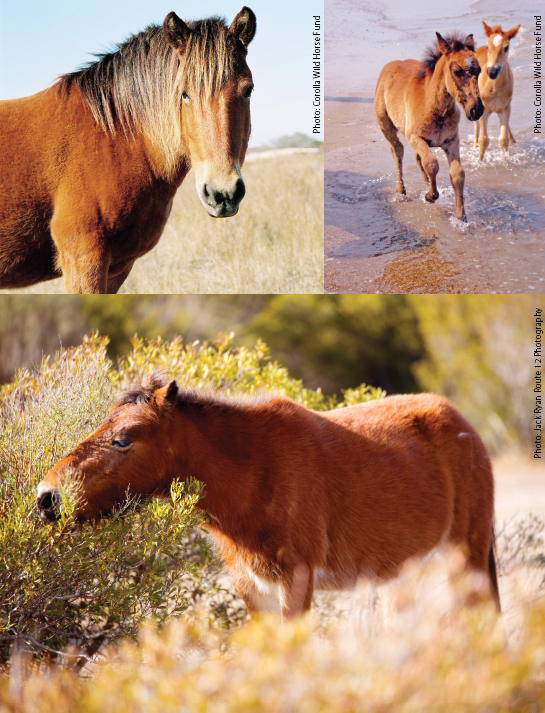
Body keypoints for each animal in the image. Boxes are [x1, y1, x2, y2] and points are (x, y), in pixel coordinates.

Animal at [0, 9, 256, 292]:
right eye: (184, 94)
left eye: (248, 90)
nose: (223, 194)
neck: (116, 136)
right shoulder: (82, 258)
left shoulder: (117, 268)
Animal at [36, 372, 500, 616]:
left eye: (122, 439)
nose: (46, 498)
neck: (254, 472)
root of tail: (465, 427)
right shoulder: (252, 585)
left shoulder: (296, 577)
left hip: (468, 556)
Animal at [372, 32, 482, 220]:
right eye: (456, 71)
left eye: (479, 70)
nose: (476, 109)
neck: (434, 107)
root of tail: (390, 65)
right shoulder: (414, 137)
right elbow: (431, 163)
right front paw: (431, 196)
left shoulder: (452, 140)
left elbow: (458, 174)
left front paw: (461, 217)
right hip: (386, 126)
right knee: (397, 150)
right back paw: (401, 191)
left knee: (417, 157)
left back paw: (424, 184)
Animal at [472, 23, 520, 162]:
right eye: (488, 46)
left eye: (506, 47)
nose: (492, 72)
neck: (494, 88)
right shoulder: (483, 110)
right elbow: (484, 140)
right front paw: (479, 161)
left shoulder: (505, 108)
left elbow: (503, 140)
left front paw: (506, 162)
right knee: (475, 126)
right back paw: (474, 144)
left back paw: (513, 139)